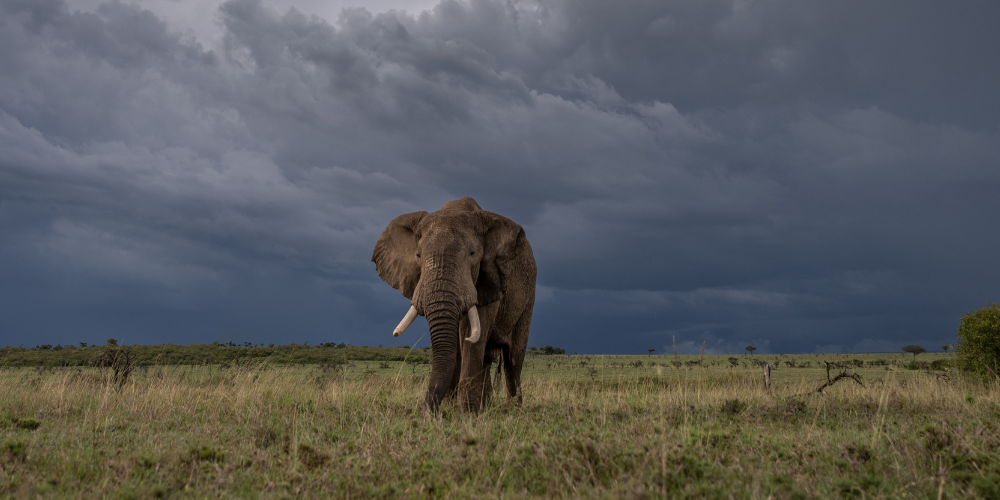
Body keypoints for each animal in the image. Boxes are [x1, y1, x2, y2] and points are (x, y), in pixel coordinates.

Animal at [372, 197, 536, 414]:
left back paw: (513, 409)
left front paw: (467, 413)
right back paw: (487, 406)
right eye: (418, 255)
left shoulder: (489, 278)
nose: (430, 413)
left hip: (528, 297)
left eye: (473, 253)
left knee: (513, 358)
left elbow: (469, 335)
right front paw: (455, 407)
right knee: (487, 358)